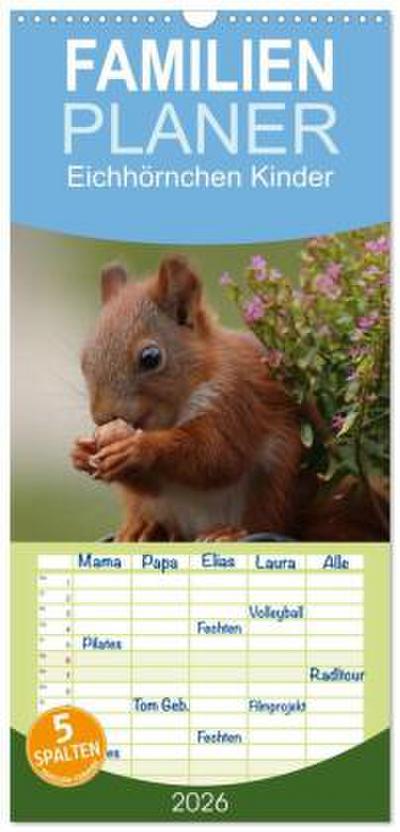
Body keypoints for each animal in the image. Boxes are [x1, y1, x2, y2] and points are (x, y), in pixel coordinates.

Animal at [71, 256, 388, 542]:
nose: (103, 417)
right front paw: (81, 453)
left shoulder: (237, 399)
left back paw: (229, 533)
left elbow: (216, 457)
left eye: (151, 358)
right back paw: (145, 527)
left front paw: (139, 448)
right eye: (84, 360)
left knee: (263, 520)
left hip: (273, 482)